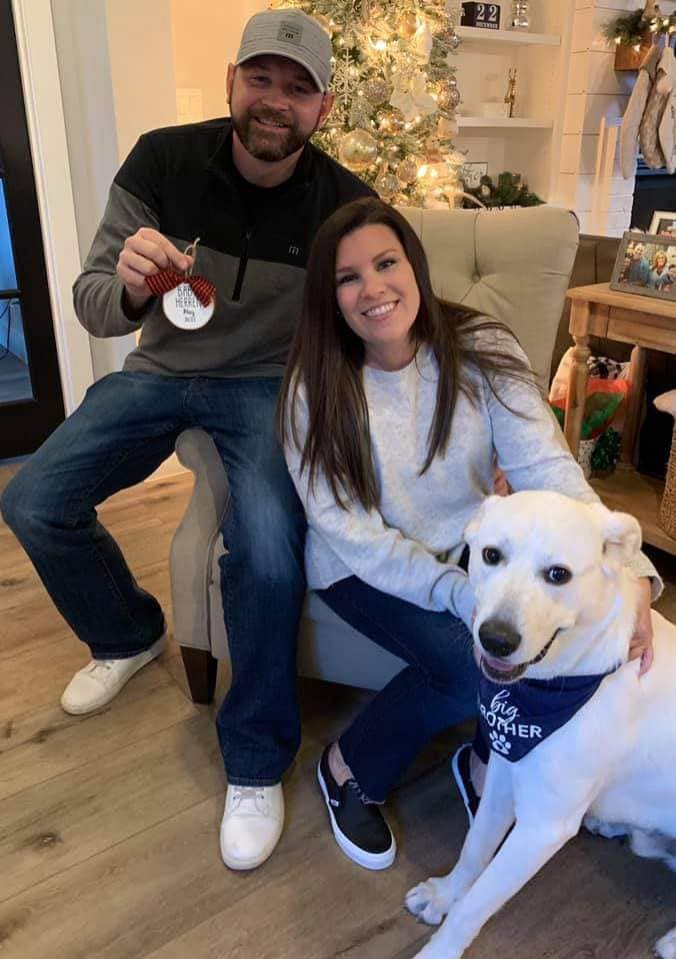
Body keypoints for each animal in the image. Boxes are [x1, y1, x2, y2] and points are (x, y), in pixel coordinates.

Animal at [405, 491, 676, 959]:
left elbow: (475, 907)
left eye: (558, 574)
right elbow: (474, 851)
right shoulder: (503, 775)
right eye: (491, 555)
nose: (496, 639)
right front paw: (444, 894)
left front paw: (440, 950)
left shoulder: (541, 829)